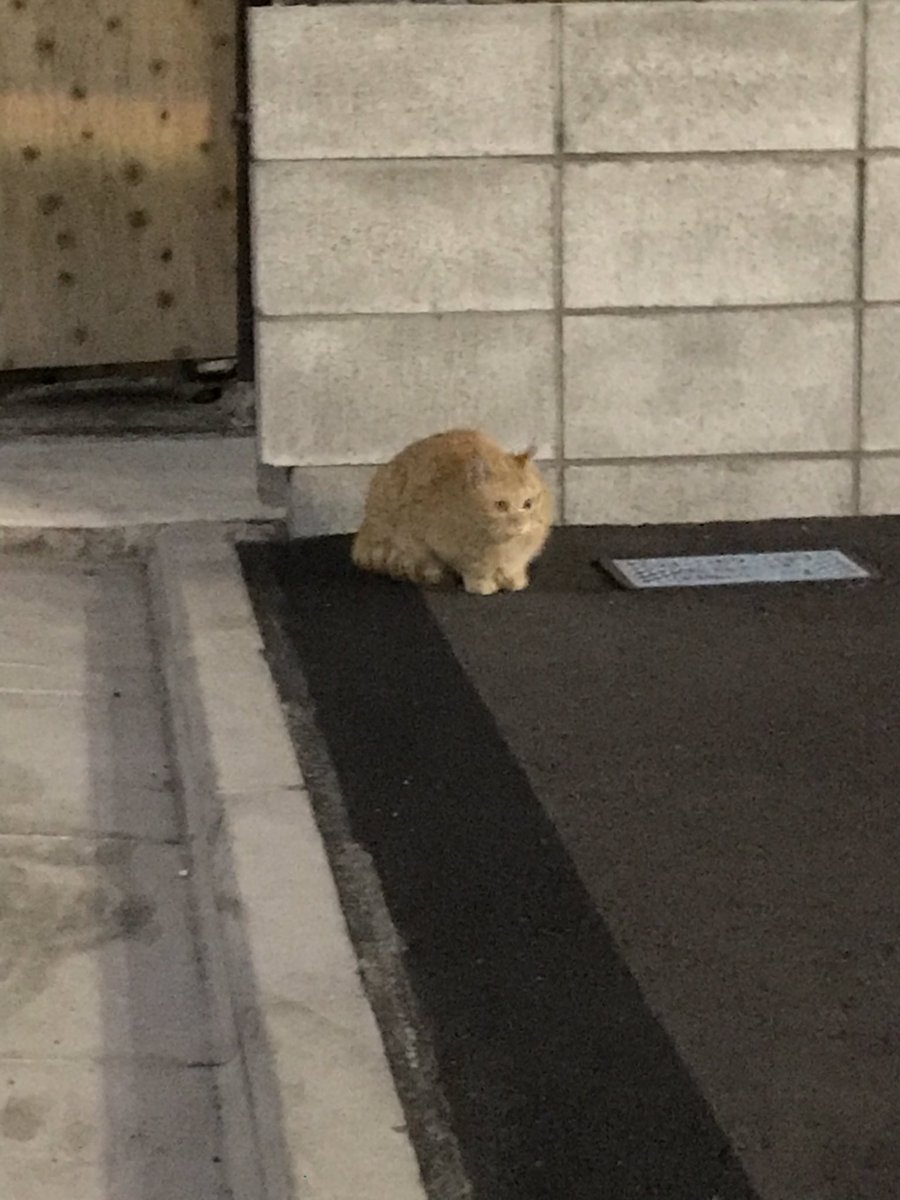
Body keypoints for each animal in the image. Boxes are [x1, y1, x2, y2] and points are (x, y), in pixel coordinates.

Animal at [355, 432, 554, 600]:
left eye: (528, 503)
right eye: (501, 505)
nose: (520, 525)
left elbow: (514, 568)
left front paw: (515, 581)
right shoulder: (451, 551)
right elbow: (476, 571)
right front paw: (482, 585)